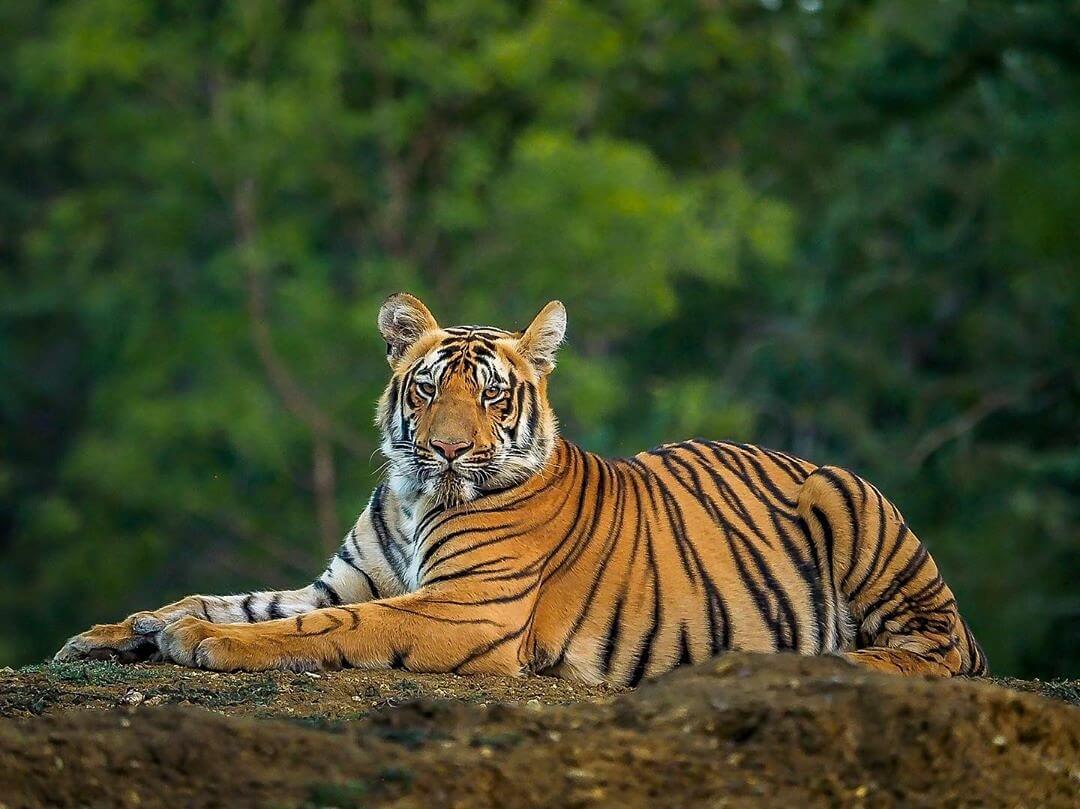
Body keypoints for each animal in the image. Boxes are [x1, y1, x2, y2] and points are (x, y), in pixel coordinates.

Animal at [55, 293, 988, 682]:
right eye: (430, 388)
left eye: (493, 395)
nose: (447, 449)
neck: (413, 495)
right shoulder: (344, 578)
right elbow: (229, 597)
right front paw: (121, 630)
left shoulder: (464, 607)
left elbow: (319, 627)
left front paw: (200, 643)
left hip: (852, 504)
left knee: (936, 652)